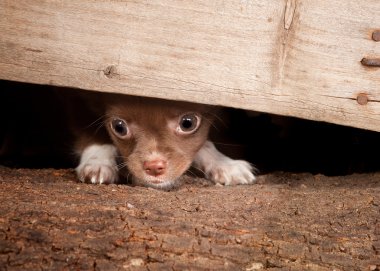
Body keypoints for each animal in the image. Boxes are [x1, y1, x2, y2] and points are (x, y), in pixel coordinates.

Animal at [71, 92, 255, 190]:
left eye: (188, 123)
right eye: (119, 127)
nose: (154, 167)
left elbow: (205, 143)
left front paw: (224, 164)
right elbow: (90, 128)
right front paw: (97, 163)